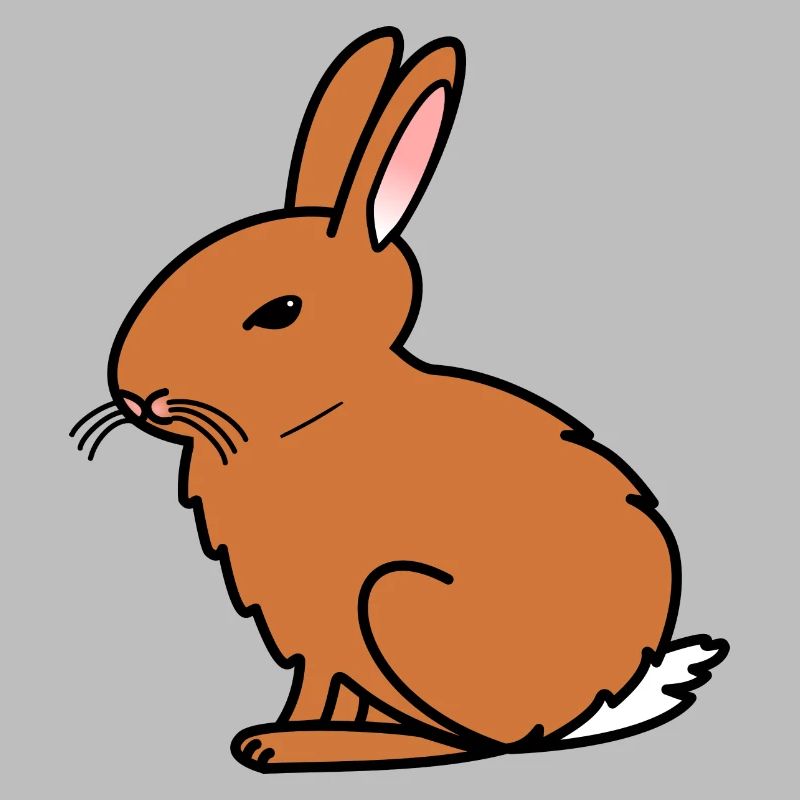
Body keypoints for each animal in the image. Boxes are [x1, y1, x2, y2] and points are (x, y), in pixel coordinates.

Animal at [71, 27, 728, 772]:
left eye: (280, 312)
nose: (136, 397)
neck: (318, 413)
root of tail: (595, 704)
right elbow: (323, 686)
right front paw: (289, 730)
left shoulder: (325, 613)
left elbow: (319, 684)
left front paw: (276, 740)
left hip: (395, 602)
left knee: (470, 742)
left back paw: (328, 747)